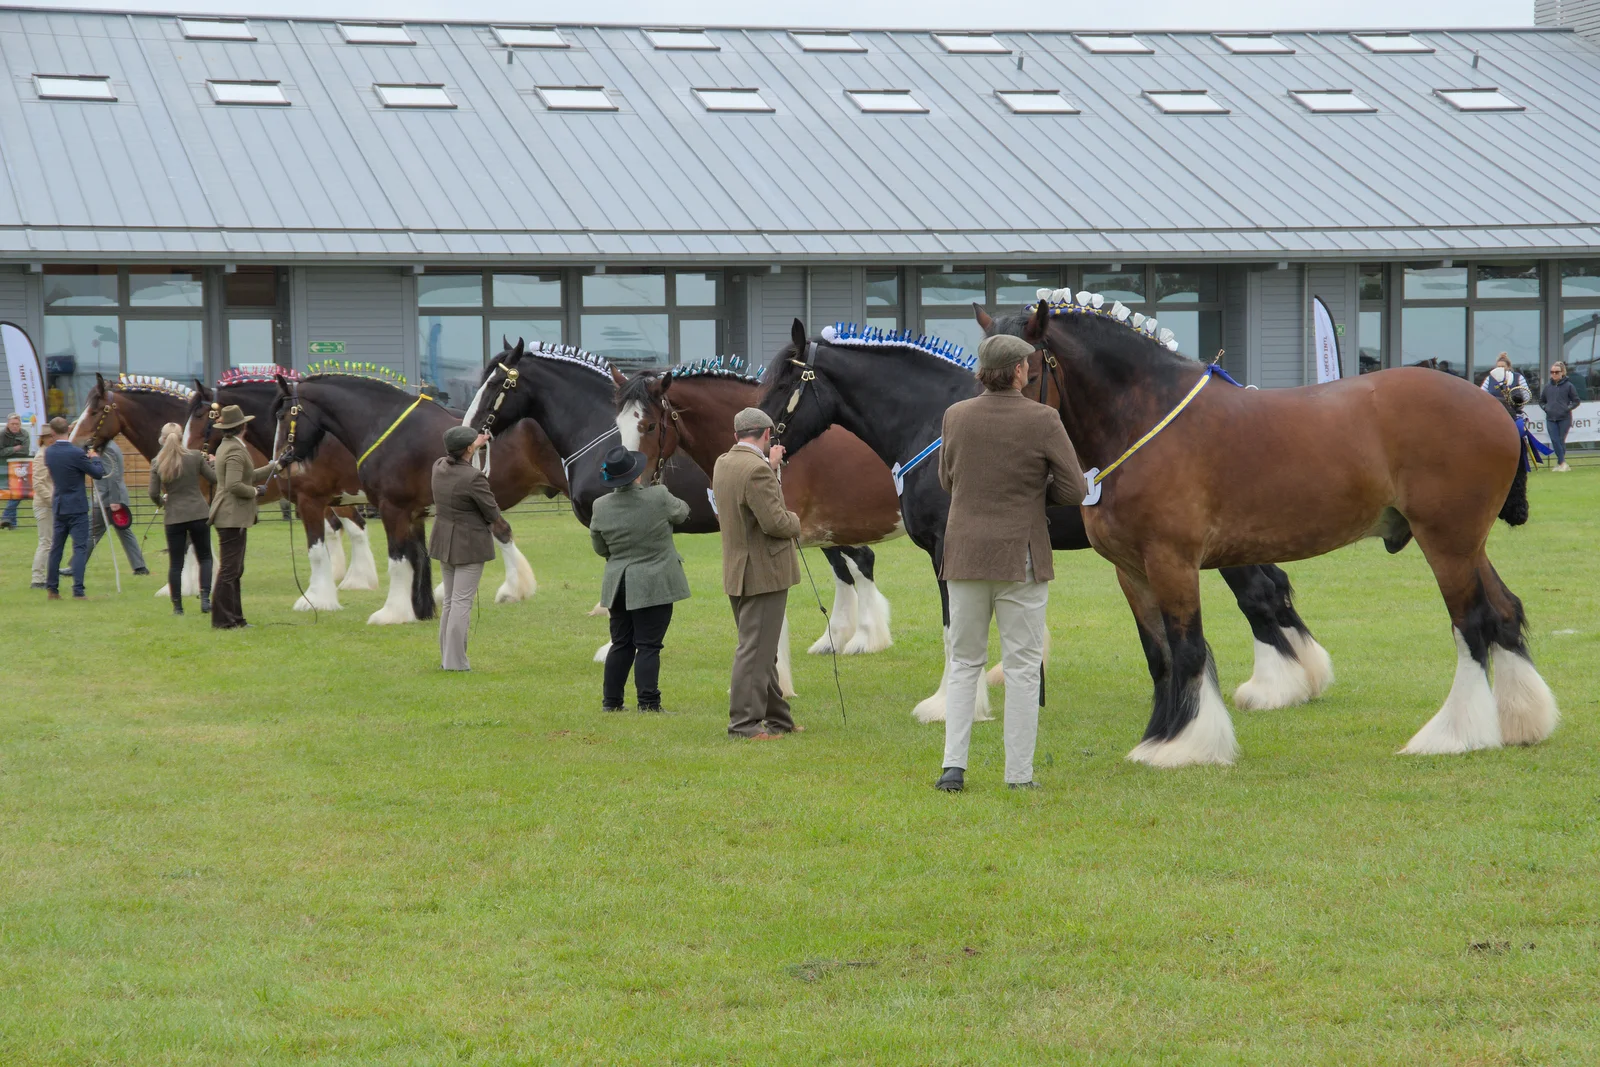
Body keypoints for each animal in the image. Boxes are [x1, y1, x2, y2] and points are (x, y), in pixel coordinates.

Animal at [755, 319, 1331, 726]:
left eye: (784, 380)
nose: (755, 439)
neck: (933, 422)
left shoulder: (948, 548)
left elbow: (955, 631)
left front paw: (949, 706)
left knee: (1259, 594)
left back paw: (1274, 688)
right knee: (1271, 591)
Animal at [992, 287, 1555, 764]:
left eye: (1023, 372)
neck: (1145, 421)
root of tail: (1496, 404)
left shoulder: (1173, 562)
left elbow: (1188, 647)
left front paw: (1187, 744)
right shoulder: (1131, 571)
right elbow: (1160, 657)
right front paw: (1157, 738)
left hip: (1447, 543)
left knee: (1472, 623)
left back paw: (1452, 735)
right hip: (1467, 543)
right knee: (1505, 612)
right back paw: (1521, 722)